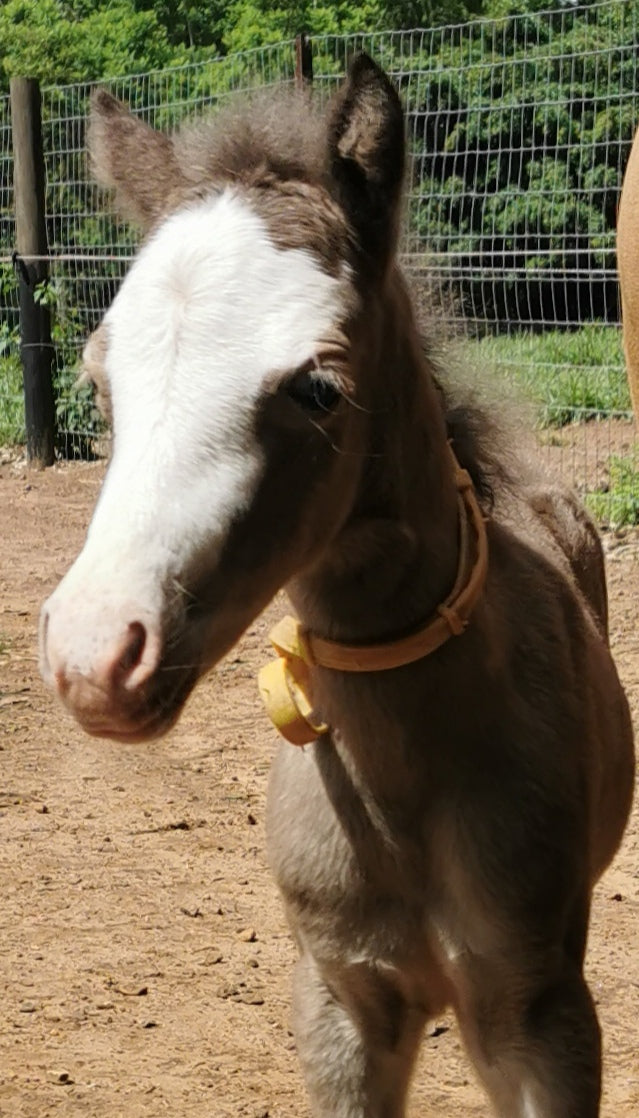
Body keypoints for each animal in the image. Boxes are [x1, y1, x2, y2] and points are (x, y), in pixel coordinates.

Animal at [40, 55, 634, 1117]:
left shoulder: (538, 1014)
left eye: (318, 389)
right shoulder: (337, 999)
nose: (93, 655)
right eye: (97, 382)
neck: (403, 782)